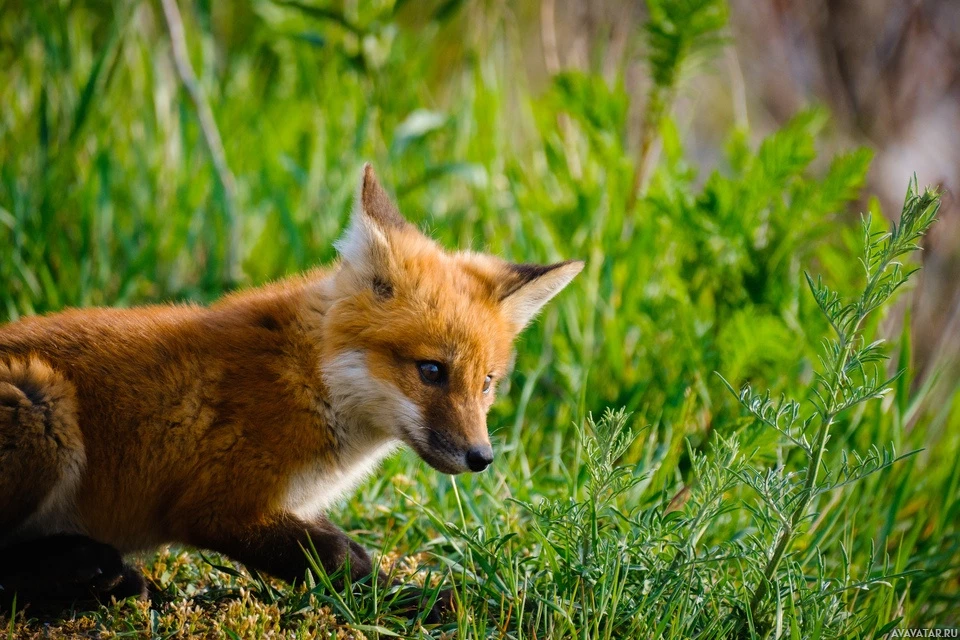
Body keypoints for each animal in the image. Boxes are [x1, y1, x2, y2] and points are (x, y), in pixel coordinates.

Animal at [0, 165, 584, 620]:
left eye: (487, 382)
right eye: (432, 370)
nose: (481, 457)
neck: (309, 382)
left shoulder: (289, 509)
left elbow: (346, 551)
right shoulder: (216, 506)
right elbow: (343, 558)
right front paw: (433, 604)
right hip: (41, 403)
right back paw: (95, 575)